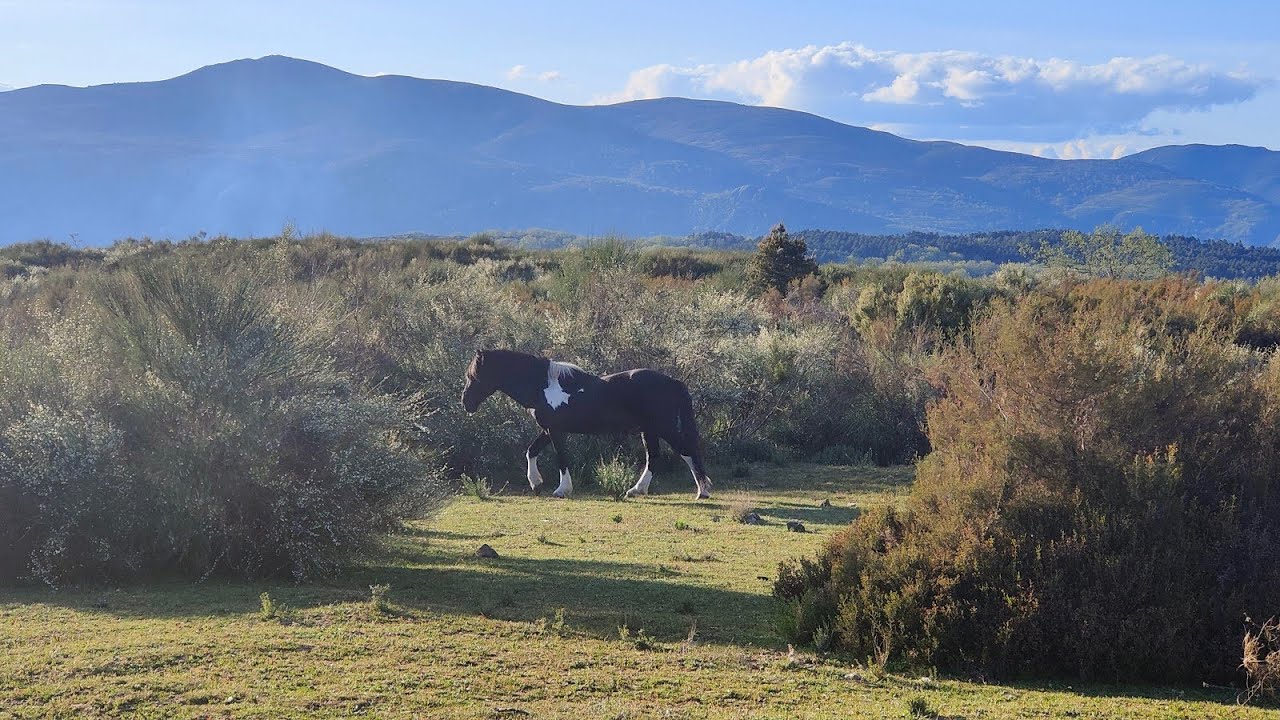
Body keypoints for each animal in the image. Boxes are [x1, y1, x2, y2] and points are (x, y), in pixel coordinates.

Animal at [460, 349, 712, 500]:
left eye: (473, 376)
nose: (466, 403)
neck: (544, 386)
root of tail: (674, 382)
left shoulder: (556, 431)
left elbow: (562, 459)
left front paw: (562, 490)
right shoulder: (548, 429)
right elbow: (531, 451)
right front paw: (536, 483)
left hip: (663, 427)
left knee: (686, 453)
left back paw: (703, 491)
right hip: (649, 430)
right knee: (655, 457)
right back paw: (636, 490)